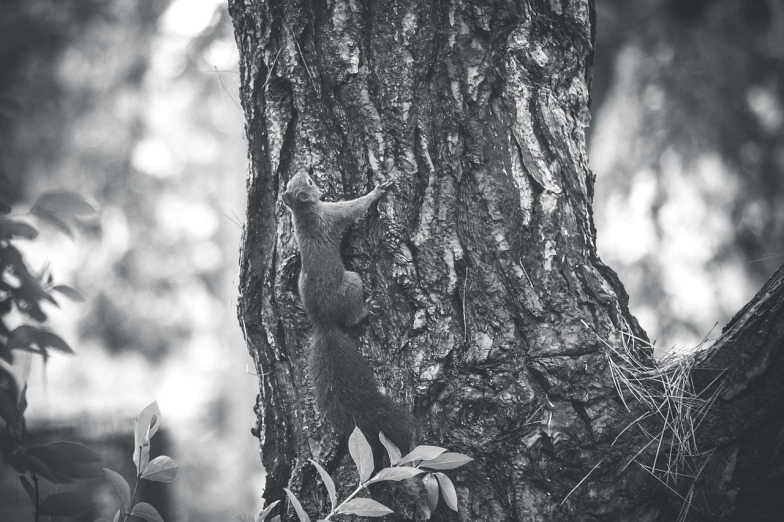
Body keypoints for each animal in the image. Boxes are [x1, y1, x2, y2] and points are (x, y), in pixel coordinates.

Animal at [284, 171, 416, 450]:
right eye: (309, 183)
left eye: (295, 181)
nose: (304, 170)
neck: (305, 212)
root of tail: (322, 322)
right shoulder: (334, 213)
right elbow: (356, 208)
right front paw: (378, 191)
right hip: (352, 282)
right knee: (352, 317)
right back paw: (365, 311)